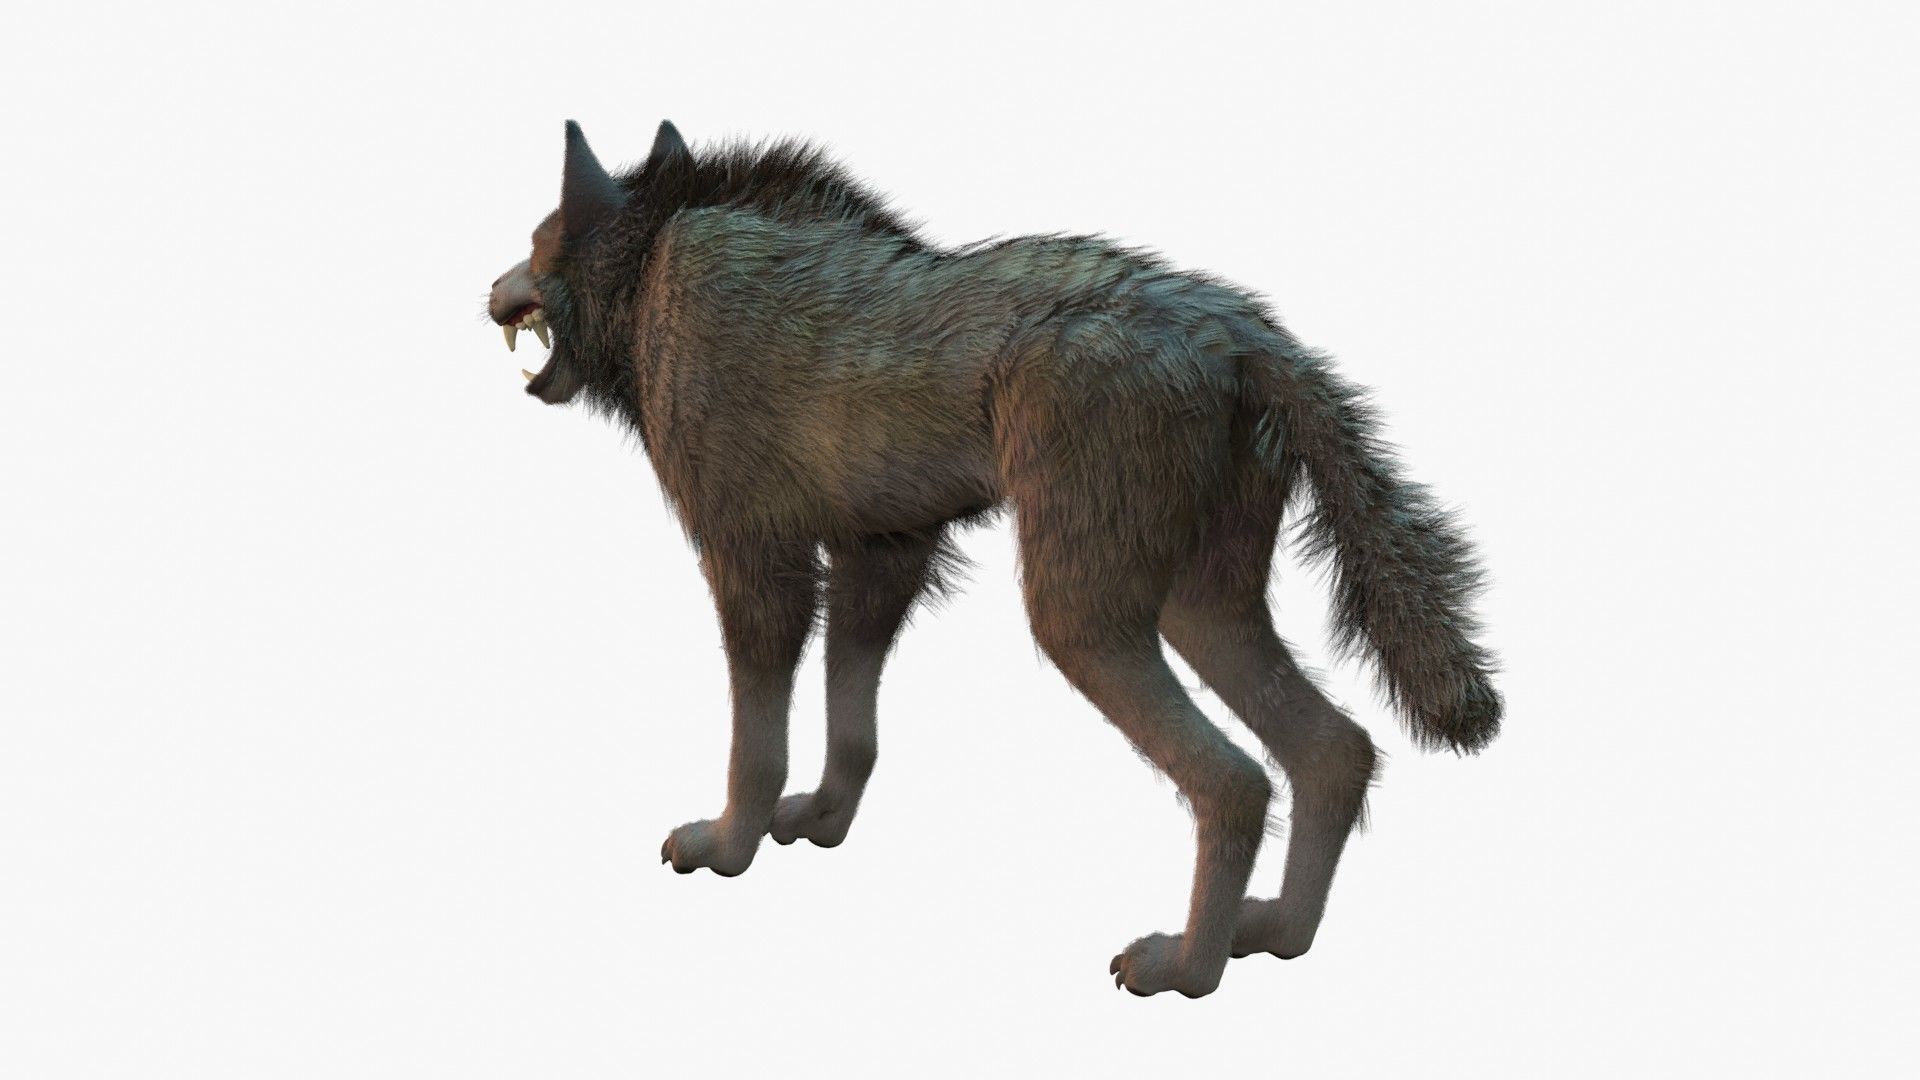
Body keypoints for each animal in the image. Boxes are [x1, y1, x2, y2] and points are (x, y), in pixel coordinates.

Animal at [487, 119, 1502, 997]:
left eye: (539, 238)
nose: (490, 292)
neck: (650, 262)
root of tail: (1243, 331)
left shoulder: (755, 559)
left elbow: (756, 743)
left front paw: (730, 847)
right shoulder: (881, 553)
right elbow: (852, 727)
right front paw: (820, 823)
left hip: (1079, 618)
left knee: (1237, 780)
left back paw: (1188, 969)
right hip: (1197, 606)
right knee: (1334, 749)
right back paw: (1277, 936)